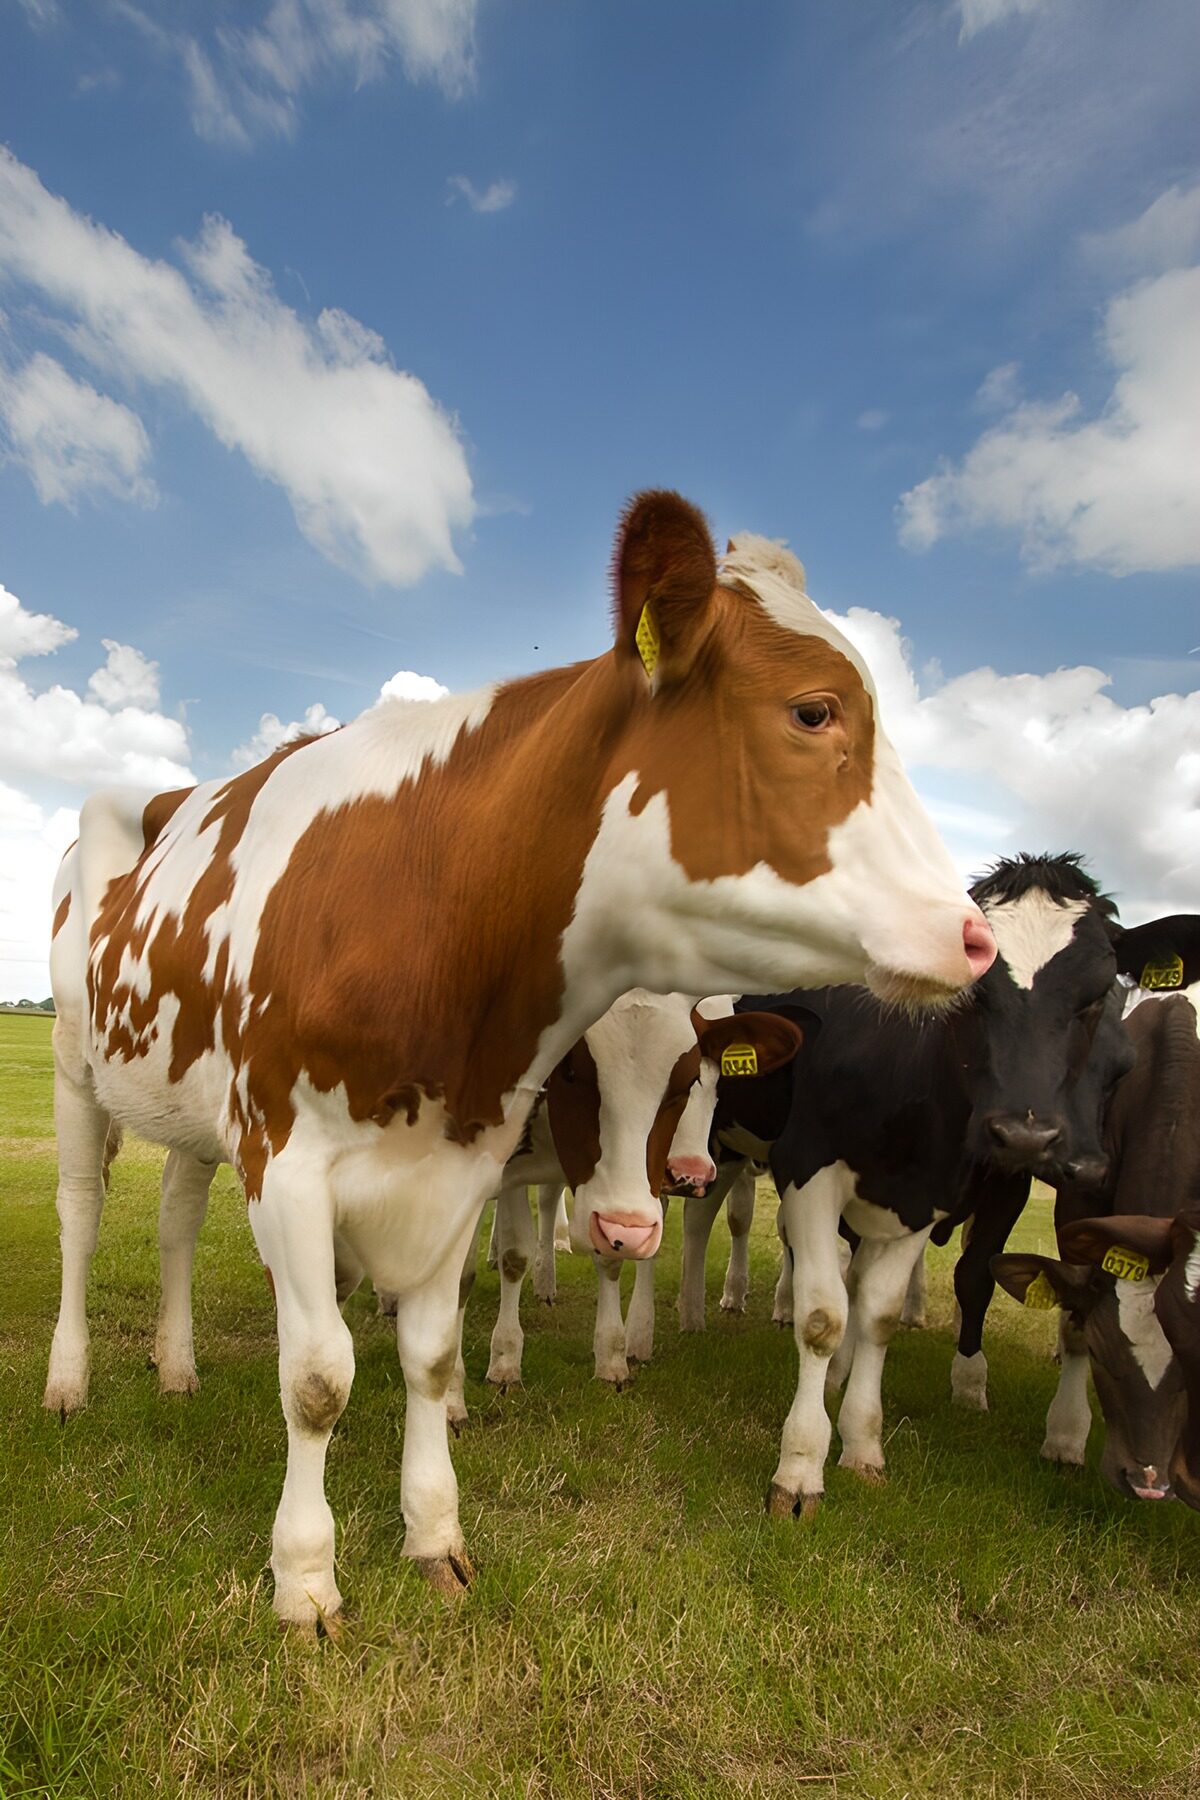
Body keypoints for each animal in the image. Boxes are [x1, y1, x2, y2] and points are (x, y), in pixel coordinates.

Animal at [45, 492, 996, 1627]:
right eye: (815, 713)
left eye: (693, 1076)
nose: (976, 937)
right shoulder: (286, 1158)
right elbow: (316, 1377)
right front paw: (306, 1578)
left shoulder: (460, 1162)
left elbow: (429, 1349)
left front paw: (433, 1533)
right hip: (75, 1068)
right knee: (83, 1219)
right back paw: (68, 1380)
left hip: (188, 1111)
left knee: (179, 1222)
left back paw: (178, 1366)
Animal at [993, 981, 1200, 1500]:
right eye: (1107, 1357)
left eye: (1190, 1371)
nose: (1148, 1483)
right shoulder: (1080, 1199)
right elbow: (1074, 1319)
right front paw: (1064, 1437)